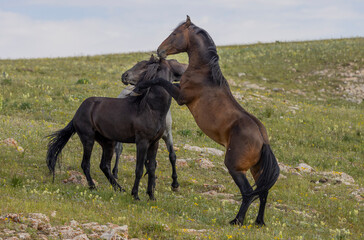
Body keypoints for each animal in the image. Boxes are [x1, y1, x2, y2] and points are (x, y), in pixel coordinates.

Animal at [45, 55, 186, 201]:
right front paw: (135, 195)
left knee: (104, 165)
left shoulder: (154, 142)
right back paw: (93, 187)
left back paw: (119, 189)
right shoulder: (142, 142)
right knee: (86, 164)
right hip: (88, 139)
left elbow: (152, 168)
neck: (151, 108)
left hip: (108, 142)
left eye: (144, 65)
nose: (125, 76)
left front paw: (151, 196)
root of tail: (77, 113)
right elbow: (139, 169)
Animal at [135, 15, 280, 226]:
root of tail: (262, 139)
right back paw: (258, 222)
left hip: (235, 167)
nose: (159, 50)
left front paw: (141, 85)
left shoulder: (181, 97)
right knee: (262, 193)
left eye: (175, 34)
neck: (204, 73)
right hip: (256, 169)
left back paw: (236, 221)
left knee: (248, 193)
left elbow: (161, 81)